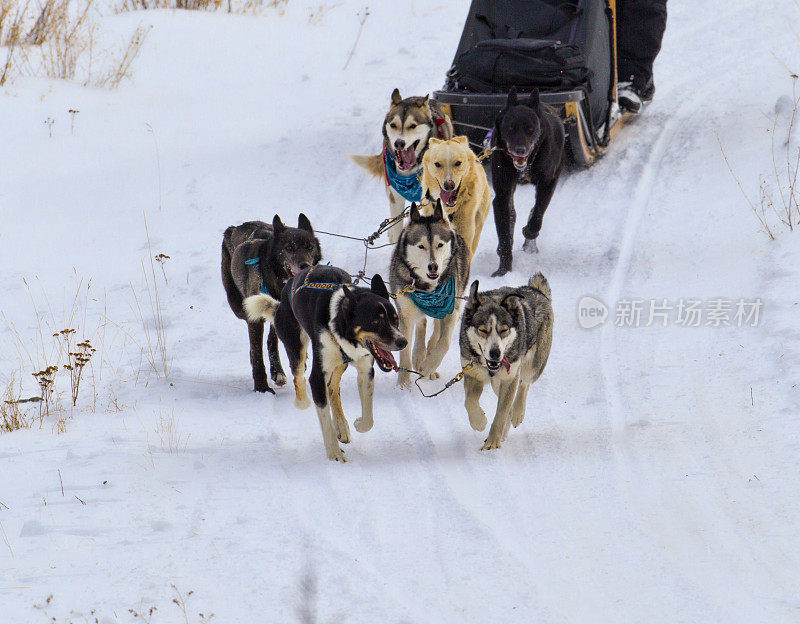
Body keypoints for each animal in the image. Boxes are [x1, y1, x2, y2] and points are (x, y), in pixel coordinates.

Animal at [222, 214, 322, 394]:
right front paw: (261, 387)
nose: (305, 265)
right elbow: (257, 352)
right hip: (238, 305)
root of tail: (235, 228)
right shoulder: (254, 319)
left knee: (272, 340)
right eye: (289, 248)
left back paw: (278, 371)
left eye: (310, 247)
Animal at [242, 266, 406, 460]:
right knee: (299, 377)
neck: (340, 326)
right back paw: (303, 402)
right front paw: (335, 455)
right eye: (376, 322)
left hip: (340, 363)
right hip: (296, 347)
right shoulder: (318, 376)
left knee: (333, 388)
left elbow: (369, 419)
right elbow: (325, 420)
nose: (403, 342)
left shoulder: (366, 371)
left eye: (395, 320)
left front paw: (358, 423)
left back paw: (342, 426)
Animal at [490, 86, 564, 276]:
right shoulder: (502, 194)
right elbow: (504, 233)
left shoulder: (548, 183)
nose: (520, 149)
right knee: (512, 215)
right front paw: (503, 269)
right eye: (510, 128)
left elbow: (537, 213)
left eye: (531, 129)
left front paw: (530, 232)